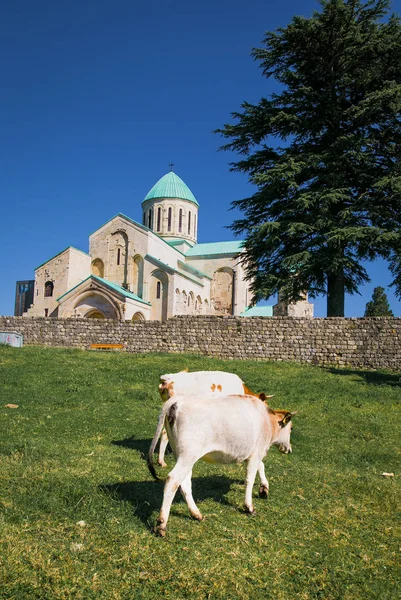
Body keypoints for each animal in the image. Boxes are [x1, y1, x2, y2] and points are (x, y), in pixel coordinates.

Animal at [147, 396, 294, 536]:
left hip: (181, 454)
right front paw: (249, 507)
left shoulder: (251, 453)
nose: (289, 450)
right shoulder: (257, 451)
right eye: (291, 428)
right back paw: (161, 525)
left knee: (185, 483)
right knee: (172, 480)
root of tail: (177, 400)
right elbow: (250, 479)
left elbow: (261, 466)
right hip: (188, 454)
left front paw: (264, 489)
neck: (268, 421)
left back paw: (196, 514)